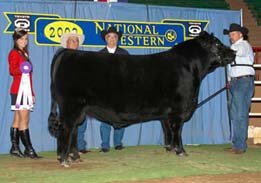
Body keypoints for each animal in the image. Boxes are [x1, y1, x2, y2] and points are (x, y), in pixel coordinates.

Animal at [47, 31, 235, 166]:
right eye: (217, 43)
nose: (234, 52)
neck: (189, 67)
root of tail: (67, 52)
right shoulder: (179, 109)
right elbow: (177, 130)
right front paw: (181, 151)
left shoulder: (166, 113)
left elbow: (168, 130)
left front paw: (169, 149)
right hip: (71, 106)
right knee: (66, 129)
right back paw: (64, 160)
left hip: (78, 110)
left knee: (73, 130)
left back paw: (75, 157)